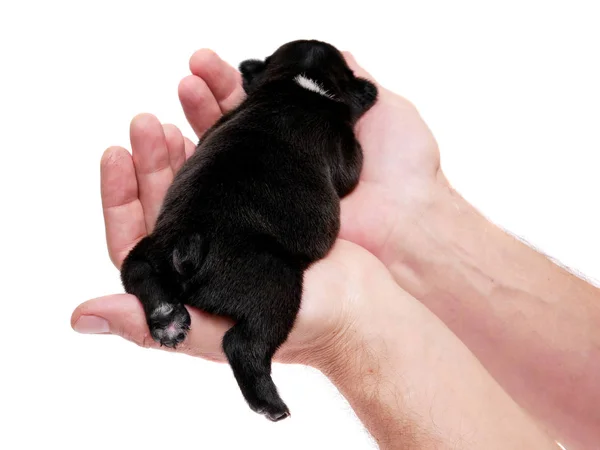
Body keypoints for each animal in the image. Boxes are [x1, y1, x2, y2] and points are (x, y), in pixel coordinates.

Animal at [119, 39, 378, 422]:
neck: (299, 80)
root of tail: (188, 238)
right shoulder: (344, 149)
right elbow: (351, 168)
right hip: (275, 284)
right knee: (243, 343)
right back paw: (271, 405)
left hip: (147, 250)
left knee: (136, 271)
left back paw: (167, 316)